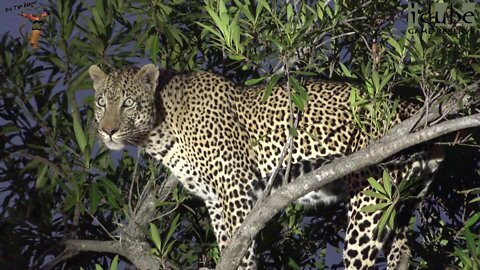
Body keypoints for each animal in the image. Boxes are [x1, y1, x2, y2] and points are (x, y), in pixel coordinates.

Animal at [89, 63, 442, 270]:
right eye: (101, 102)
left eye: (127, 103)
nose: (107, 130)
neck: (159, 130)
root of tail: (413, 107)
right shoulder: (215, 200)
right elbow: (227, 245)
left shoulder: (235, 189)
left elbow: (242, 250)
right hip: (399, 200)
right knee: (401, 251)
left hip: (369, 197)